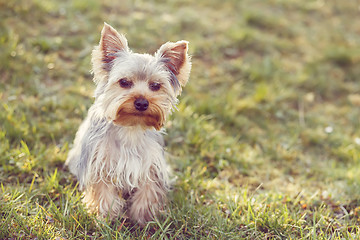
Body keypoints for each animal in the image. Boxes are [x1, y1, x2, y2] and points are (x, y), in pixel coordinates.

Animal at [66, 22, 193, 225]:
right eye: (124, 82)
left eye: (155, 86)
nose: (142, 102)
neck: (131, 127)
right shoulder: (100, 163)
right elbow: (103, 192)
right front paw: (105, 217)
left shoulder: (152, 165)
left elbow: (148, 190)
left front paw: (144, 218)